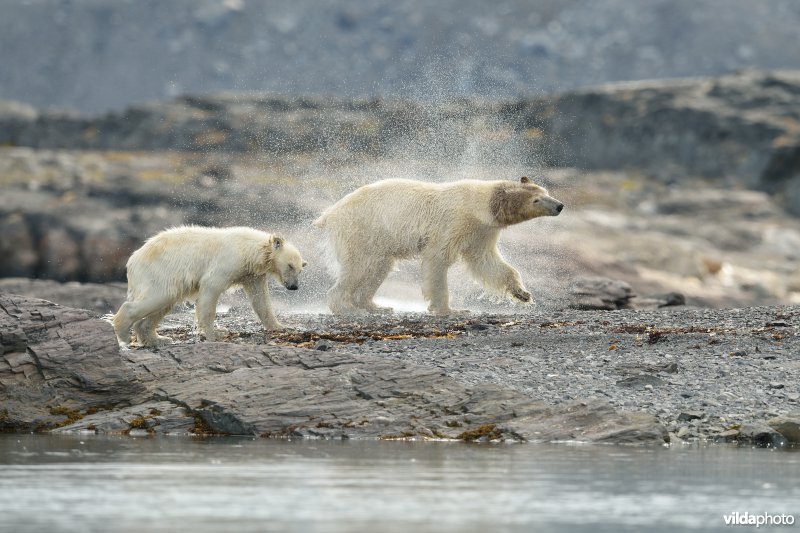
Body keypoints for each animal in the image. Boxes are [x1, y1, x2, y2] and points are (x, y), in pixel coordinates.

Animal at [312, 177, 564, 314]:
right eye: (536, 200)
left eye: (545, 191)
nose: (560, 205)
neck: (480, 203)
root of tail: (328, 214)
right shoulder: (455, 221)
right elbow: (438, 258)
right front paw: (450, 310)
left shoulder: (482, 231)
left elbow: (486, 262)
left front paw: (522, 293)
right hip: (363, 231)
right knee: (360, 266)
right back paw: (346, 308)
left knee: (380, 268)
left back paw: (376, 306)